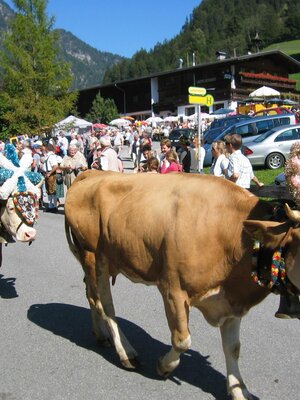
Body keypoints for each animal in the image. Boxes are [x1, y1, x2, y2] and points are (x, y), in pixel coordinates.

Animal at [64, 170, 298, 400]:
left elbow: (233, 348)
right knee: (105, 306)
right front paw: (164, 366)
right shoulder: (173, 289)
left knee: (91, 296)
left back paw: (101, 336)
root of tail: (91, 172)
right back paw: (126, 352)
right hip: (94, 256)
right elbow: (182, 340)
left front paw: (239, 388)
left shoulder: (232, 301)